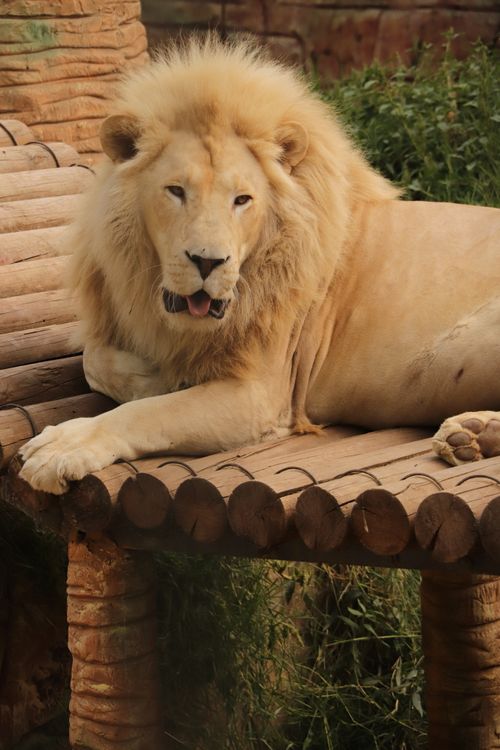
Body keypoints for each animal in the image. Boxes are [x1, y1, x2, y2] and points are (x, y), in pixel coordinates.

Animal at [19, 36, 500, 494]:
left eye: (242, 199)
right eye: (176, 191)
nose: (208, 262)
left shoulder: (261, 395)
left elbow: (146, 413)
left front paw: (63, 447)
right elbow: (92, 361)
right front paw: (157, 376)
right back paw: (472, 436)